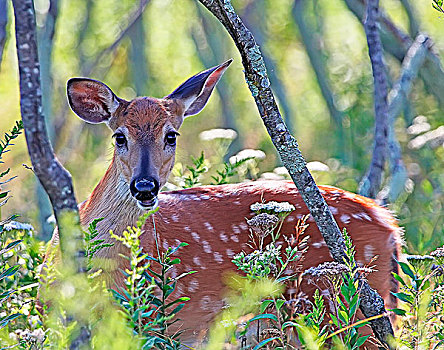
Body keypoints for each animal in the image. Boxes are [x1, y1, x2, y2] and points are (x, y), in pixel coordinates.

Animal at [53, 60, 402, 344]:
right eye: (119, 137)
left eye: (171, 135)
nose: (144, 187)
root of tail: (389, 224)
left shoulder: (166, 324)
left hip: (343, 305)